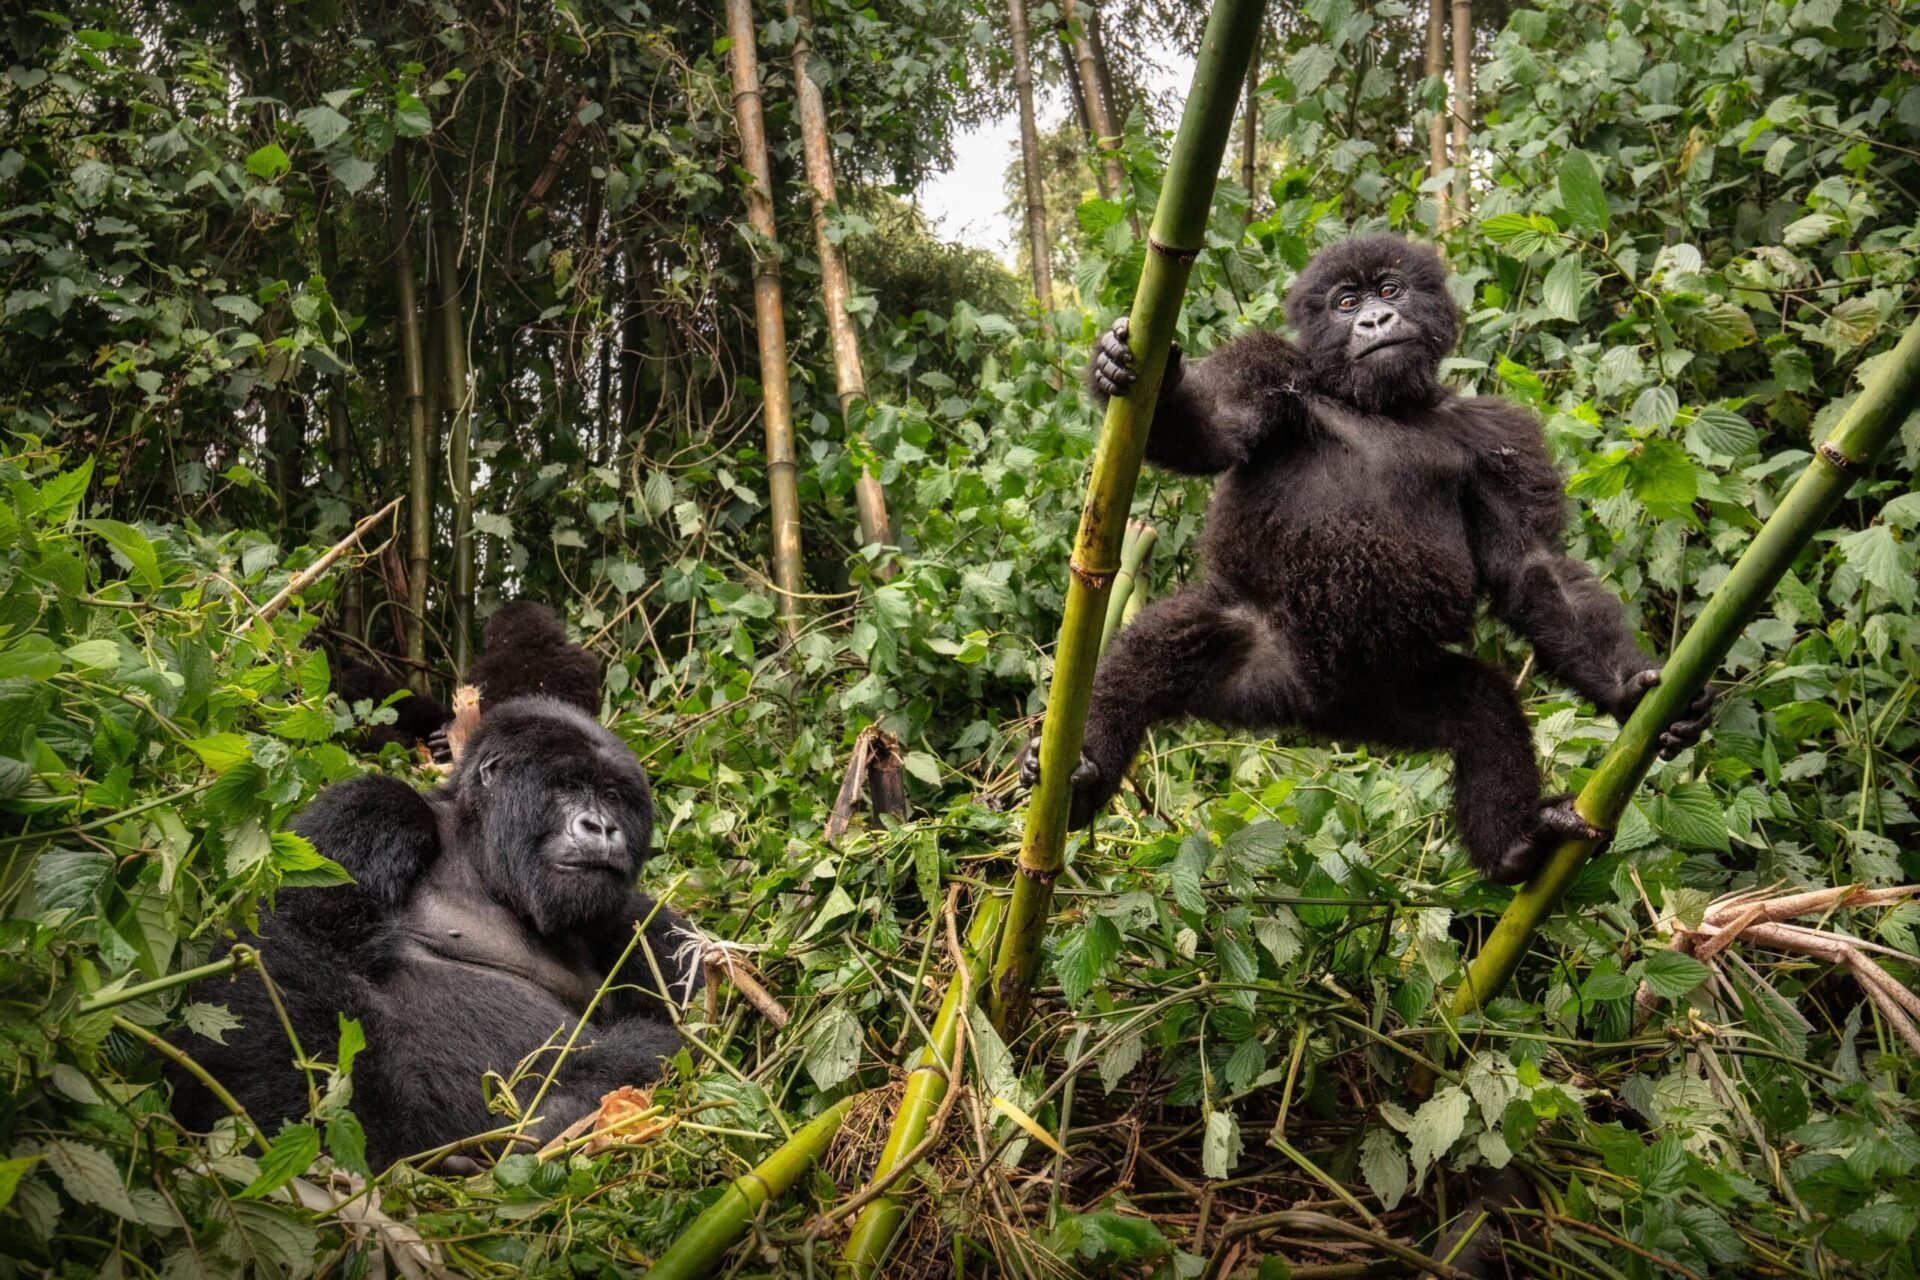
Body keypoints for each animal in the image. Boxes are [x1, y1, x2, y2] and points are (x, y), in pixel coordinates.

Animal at [170, 694, 698, 1166]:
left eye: (612, 796)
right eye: (567, 786)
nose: (602, 828)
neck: (485, 861)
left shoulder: (637, 918)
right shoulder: (374, 808)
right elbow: (287, 942)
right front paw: (364, 1147)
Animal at [1029, 235, 1720, 886]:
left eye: (1390, 289)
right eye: (1345, 303)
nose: (1376, 320)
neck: (1382, 402)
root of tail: (1298, 706)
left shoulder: (1498, 434)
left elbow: (1532, 567)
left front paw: (1628, 687)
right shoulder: (1269, 369)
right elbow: (1208, 429)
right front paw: (1131, 369)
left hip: (1386, 694)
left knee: (1481, 707)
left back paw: (1513, 846)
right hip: (1263, 648)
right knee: (1155, 652)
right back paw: (1081, 771)